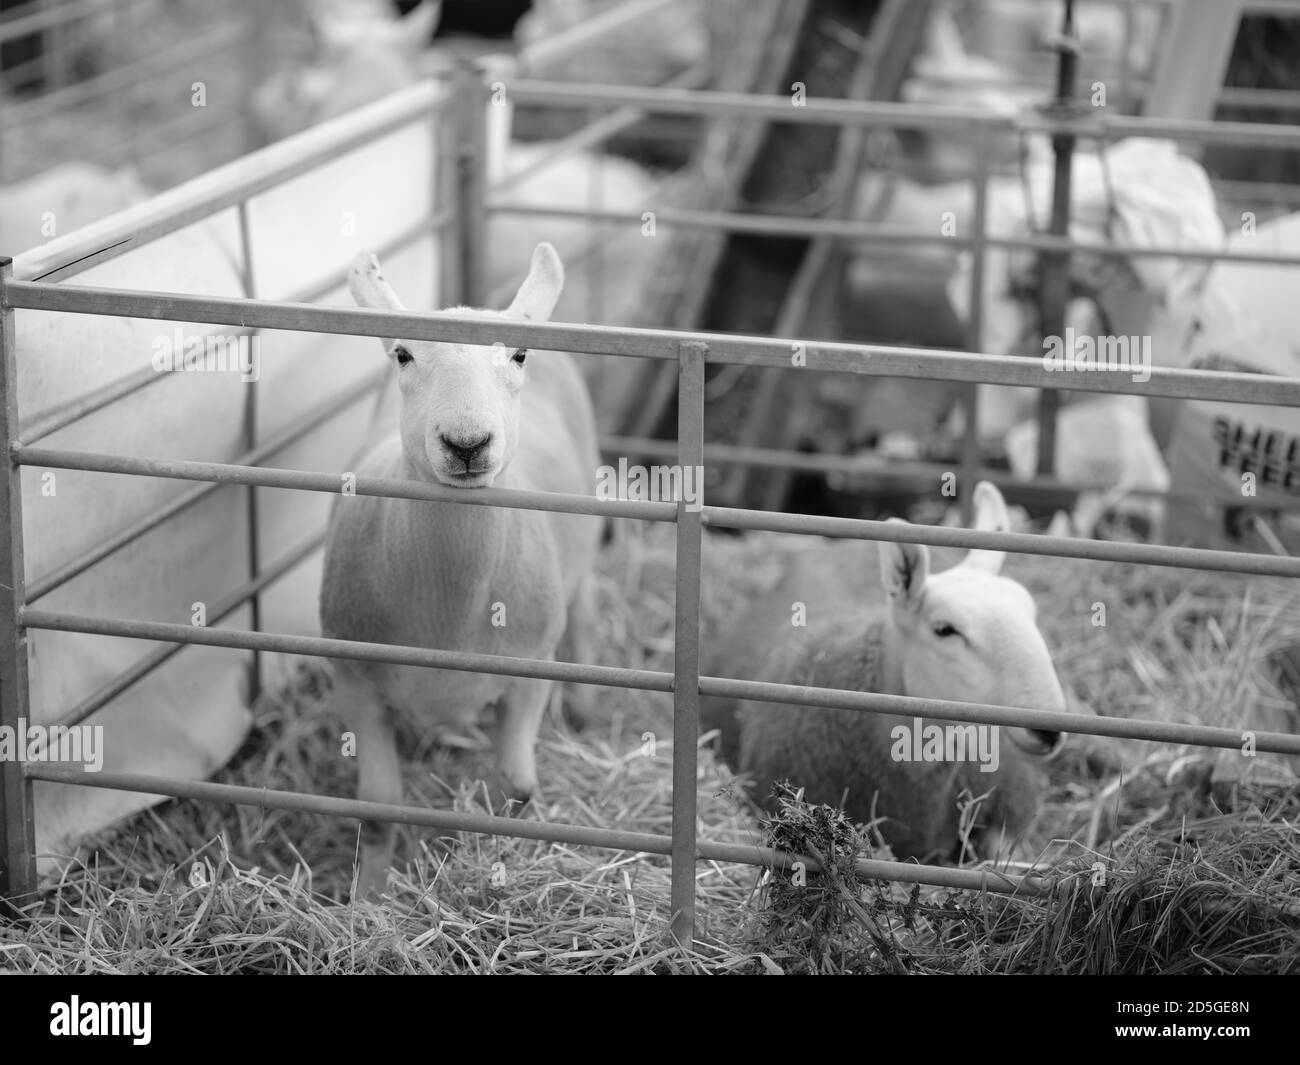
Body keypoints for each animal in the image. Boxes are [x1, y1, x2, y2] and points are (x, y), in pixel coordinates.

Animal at [317, 243, 600, 899]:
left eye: (518, 355)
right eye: (403, 353)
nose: (467, 443)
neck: (451, 601)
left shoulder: (529, 671)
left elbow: (518, 788)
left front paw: (497, 866)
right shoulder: (356, 679)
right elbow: (379, 806)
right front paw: (368, 899)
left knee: (583, 612)